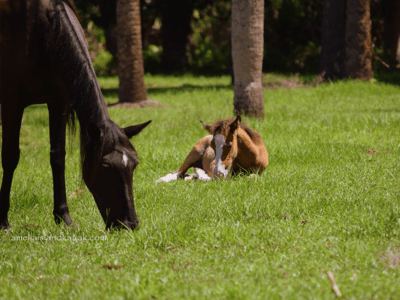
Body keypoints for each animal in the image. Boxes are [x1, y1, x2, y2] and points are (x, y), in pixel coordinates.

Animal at [0, 0, 151, 230]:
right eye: (105, 166)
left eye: (134, 164)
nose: (129, 224)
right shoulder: (12, 103)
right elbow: (10, 157)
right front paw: (3, 221)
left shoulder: (59, 102)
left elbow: (57, 157)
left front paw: (63, 216)